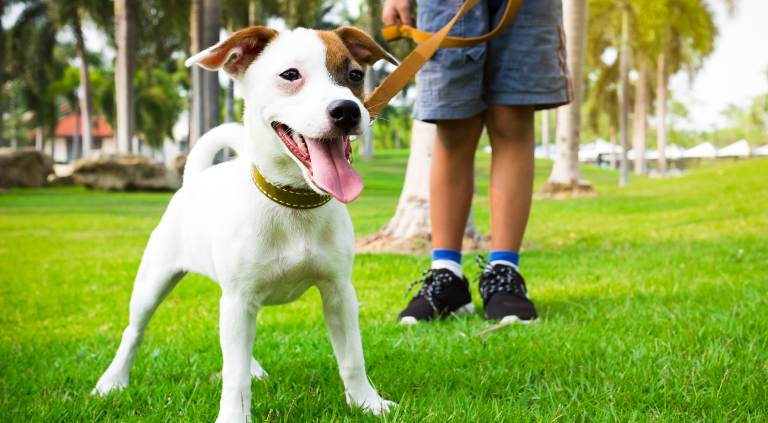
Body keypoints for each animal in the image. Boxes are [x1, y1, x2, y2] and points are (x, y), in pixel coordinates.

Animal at [91, 27, 396, 423]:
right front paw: (234, 416)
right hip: (153, 283)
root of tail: (195, 179)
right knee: (134, 332)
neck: (293, 201)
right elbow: (233, 376)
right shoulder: (238, 300)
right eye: (290, 75)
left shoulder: (339, 293)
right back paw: (112, 381)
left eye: (356, 75)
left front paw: (367, 403)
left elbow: (352, 359)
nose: (347, 110)